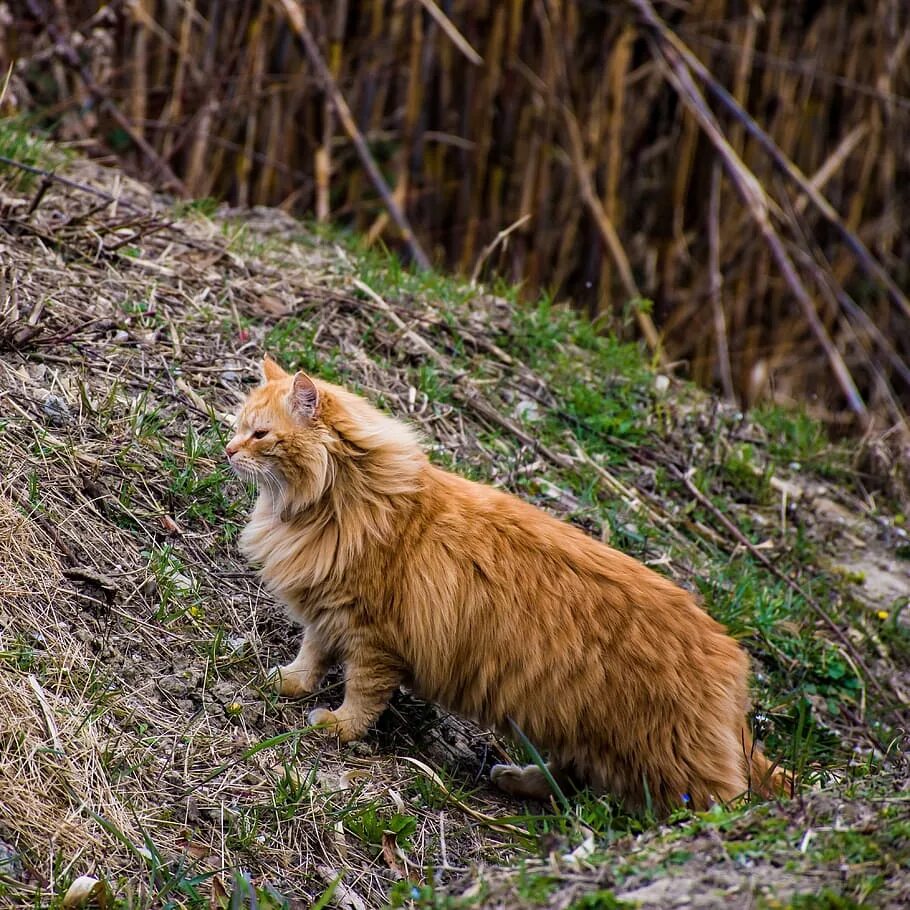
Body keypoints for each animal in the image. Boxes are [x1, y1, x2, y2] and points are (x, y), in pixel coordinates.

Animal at [230, 354, 792, 812]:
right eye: (238, 427)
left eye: (260, 435)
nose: (229, 450)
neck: (347, 501)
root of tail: (730, 655)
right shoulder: (329, 609)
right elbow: (312, 652)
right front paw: (291, 682)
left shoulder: (374, 635)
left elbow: (362, 694)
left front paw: (338, 726)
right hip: (574, 728)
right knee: (570, 779)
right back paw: (513, 780)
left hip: (666, 759)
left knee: (717, 802)